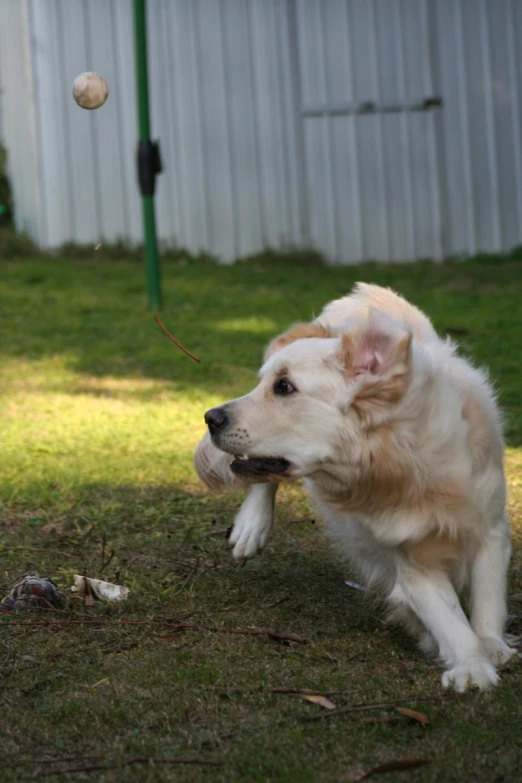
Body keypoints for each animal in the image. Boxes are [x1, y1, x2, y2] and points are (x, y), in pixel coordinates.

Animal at [195, 282, 516, 692]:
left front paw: (492, 645)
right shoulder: (409, 561)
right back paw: (252, 527)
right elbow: (448, 617)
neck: (409, 463)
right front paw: (471, 665)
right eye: (264, 383)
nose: (210, 417)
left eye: (284, 387)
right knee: (263, 481)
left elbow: (489, 596)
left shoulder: (490, 525)